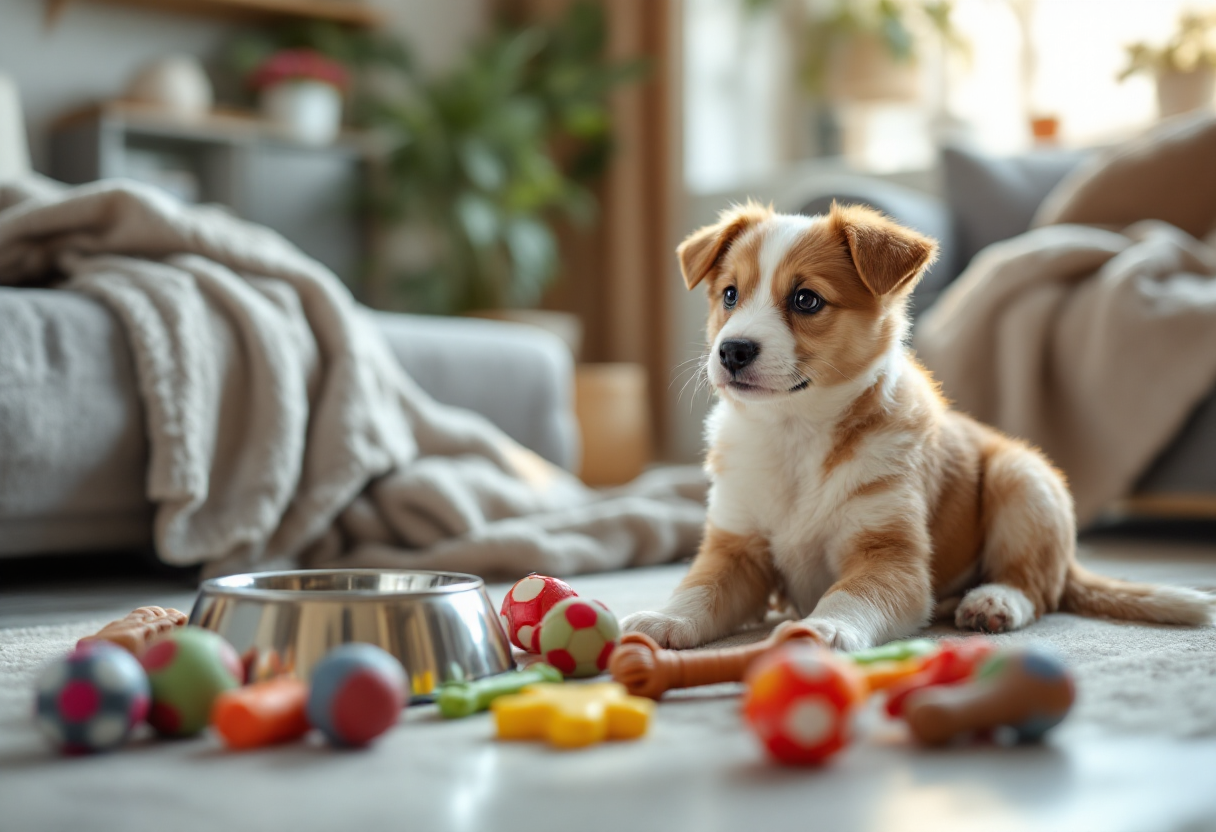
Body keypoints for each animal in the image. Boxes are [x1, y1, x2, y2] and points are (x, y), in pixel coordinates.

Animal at [622, 199, 1211, 651]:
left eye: (806, 299)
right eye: (729, 294)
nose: (732, 351)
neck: (796, 435)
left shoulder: (892, 556)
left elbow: (851, 595)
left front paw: (826, 628)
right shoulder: (736, 547)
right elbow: (700, 590)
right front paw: (664, 620)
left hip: (1022, 479)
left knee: (1037, 587)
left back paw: (993, 601)